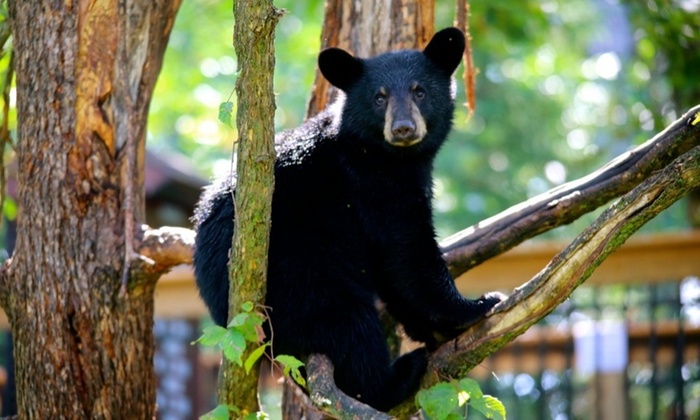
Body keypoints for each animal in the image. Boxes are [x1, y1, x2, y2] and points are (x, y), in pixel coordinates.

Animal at [194, 27, 504, 412]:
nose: (403, 129)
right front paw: (477, 305)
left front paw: (434, 329)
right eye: (379, 97)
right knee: (346, 326)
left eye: (419, 91)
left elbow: (394, 270)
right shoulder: (369, 184)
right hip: (298, 275)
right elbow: (408, 255)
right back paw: (395, 376)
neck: (386, 156)